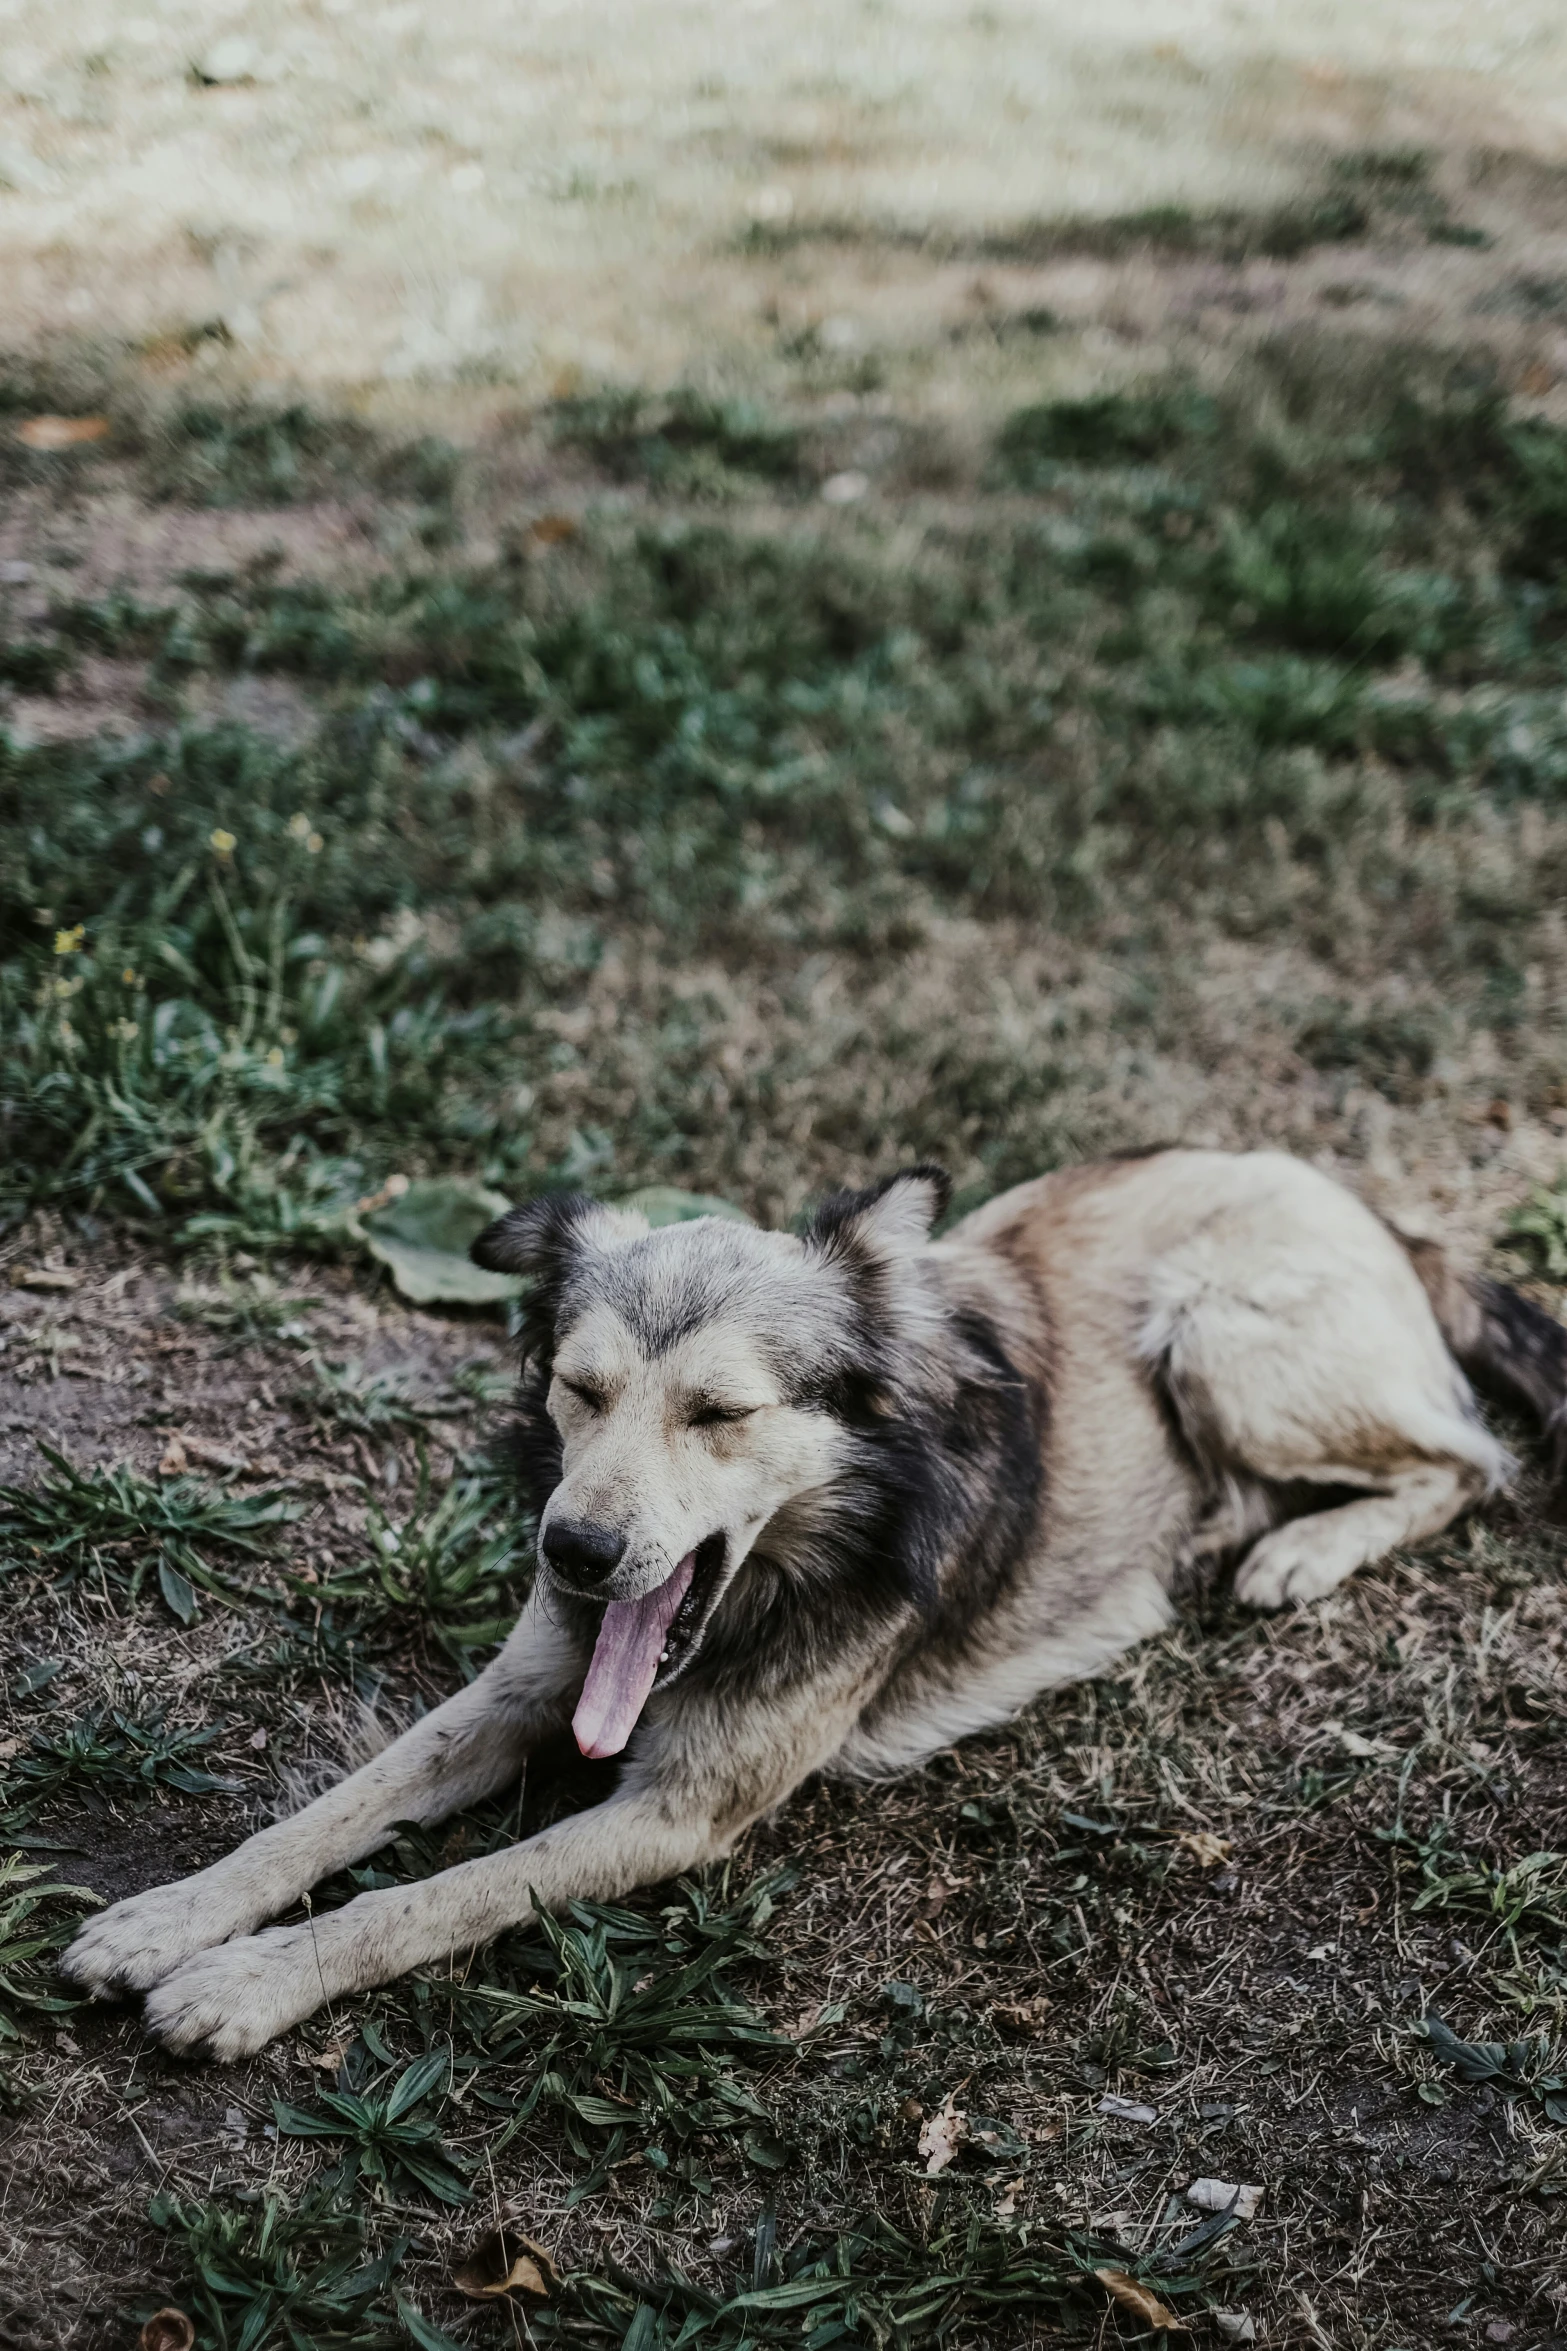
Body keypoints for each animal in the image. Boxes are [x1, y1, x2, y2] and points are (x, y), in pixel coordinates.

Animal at [64, 1151, 1567, 2059]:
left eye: (720, 1412)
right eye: (579, 1387)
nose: (574, 1550)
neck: (790, 1567)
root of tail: (1370, 1205)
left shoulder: (678, 1811)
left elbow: (429, 1895)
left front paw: (247, 1980)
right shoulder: (518, 1684)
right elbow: (332, 1810)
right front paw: (169, 1916)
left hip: (1222, 1340)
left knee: (1464, 1459)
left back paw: (1302, 1548)